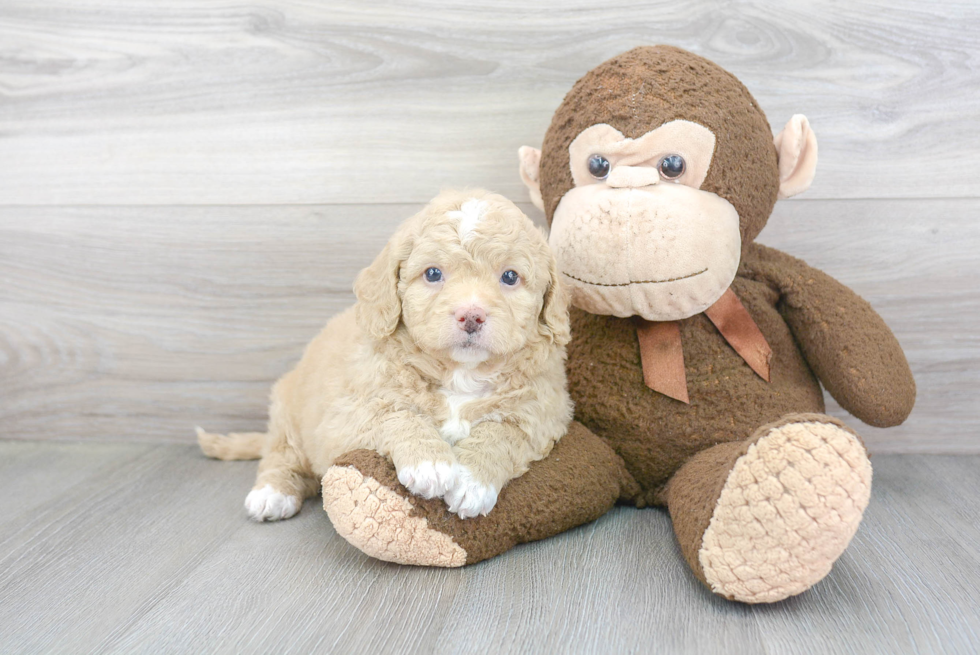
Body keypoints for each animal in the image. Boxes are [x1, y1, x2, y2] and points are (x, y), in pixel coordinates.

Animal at [197, 191, 576, 524]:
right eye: (433, 273)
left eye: (510, 276)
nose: (471, 315)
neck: (460, 373)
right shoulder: (349, 412)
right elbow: (397, 415)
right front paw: (429, 463)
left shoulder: (542, 413)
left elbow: (502, 434)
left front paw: (472, 481)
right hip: (288, 412)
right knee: (280, 455)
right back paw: (272, 493)